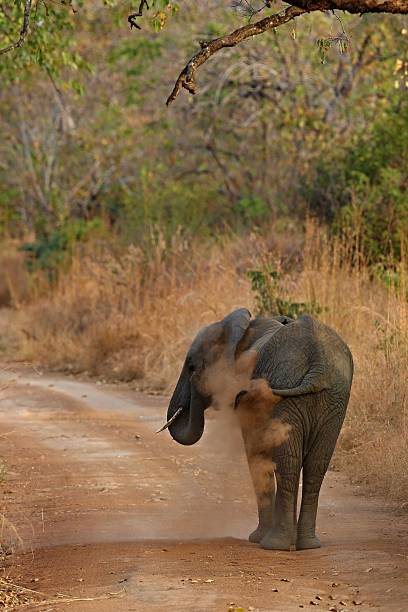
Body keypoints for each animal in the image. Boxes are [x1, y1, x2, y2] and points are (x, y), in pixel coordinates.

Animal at [163, 308, 354, 552]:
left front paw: (256, 538)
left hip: (293, 391)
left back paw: (274, 544)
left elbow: (256, 452)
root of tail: (317, 364)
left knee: (289, 462)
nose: (198, 376)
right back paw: (307, 545)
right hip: (333, 400)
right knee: (315, 464)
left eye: (191, 367)